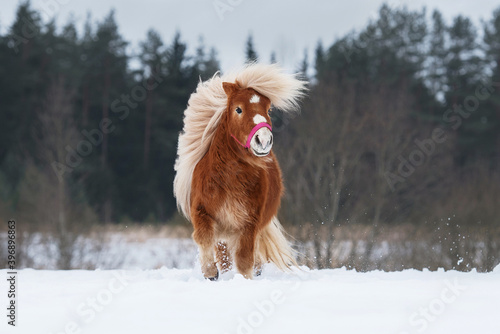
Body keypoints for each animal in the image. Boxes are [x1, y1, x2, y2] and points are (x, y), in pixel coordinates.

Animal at [174, 63, 306, 280]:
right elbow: (204, 238)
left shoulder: (249, 223)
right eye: (238, 109)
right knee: (224, 257)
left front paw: (243, 280)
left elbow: (244, 260)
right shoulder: (202, 212)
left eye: (268, 109)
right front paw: (210, 273)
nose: (263, 140)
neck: (229, 178)